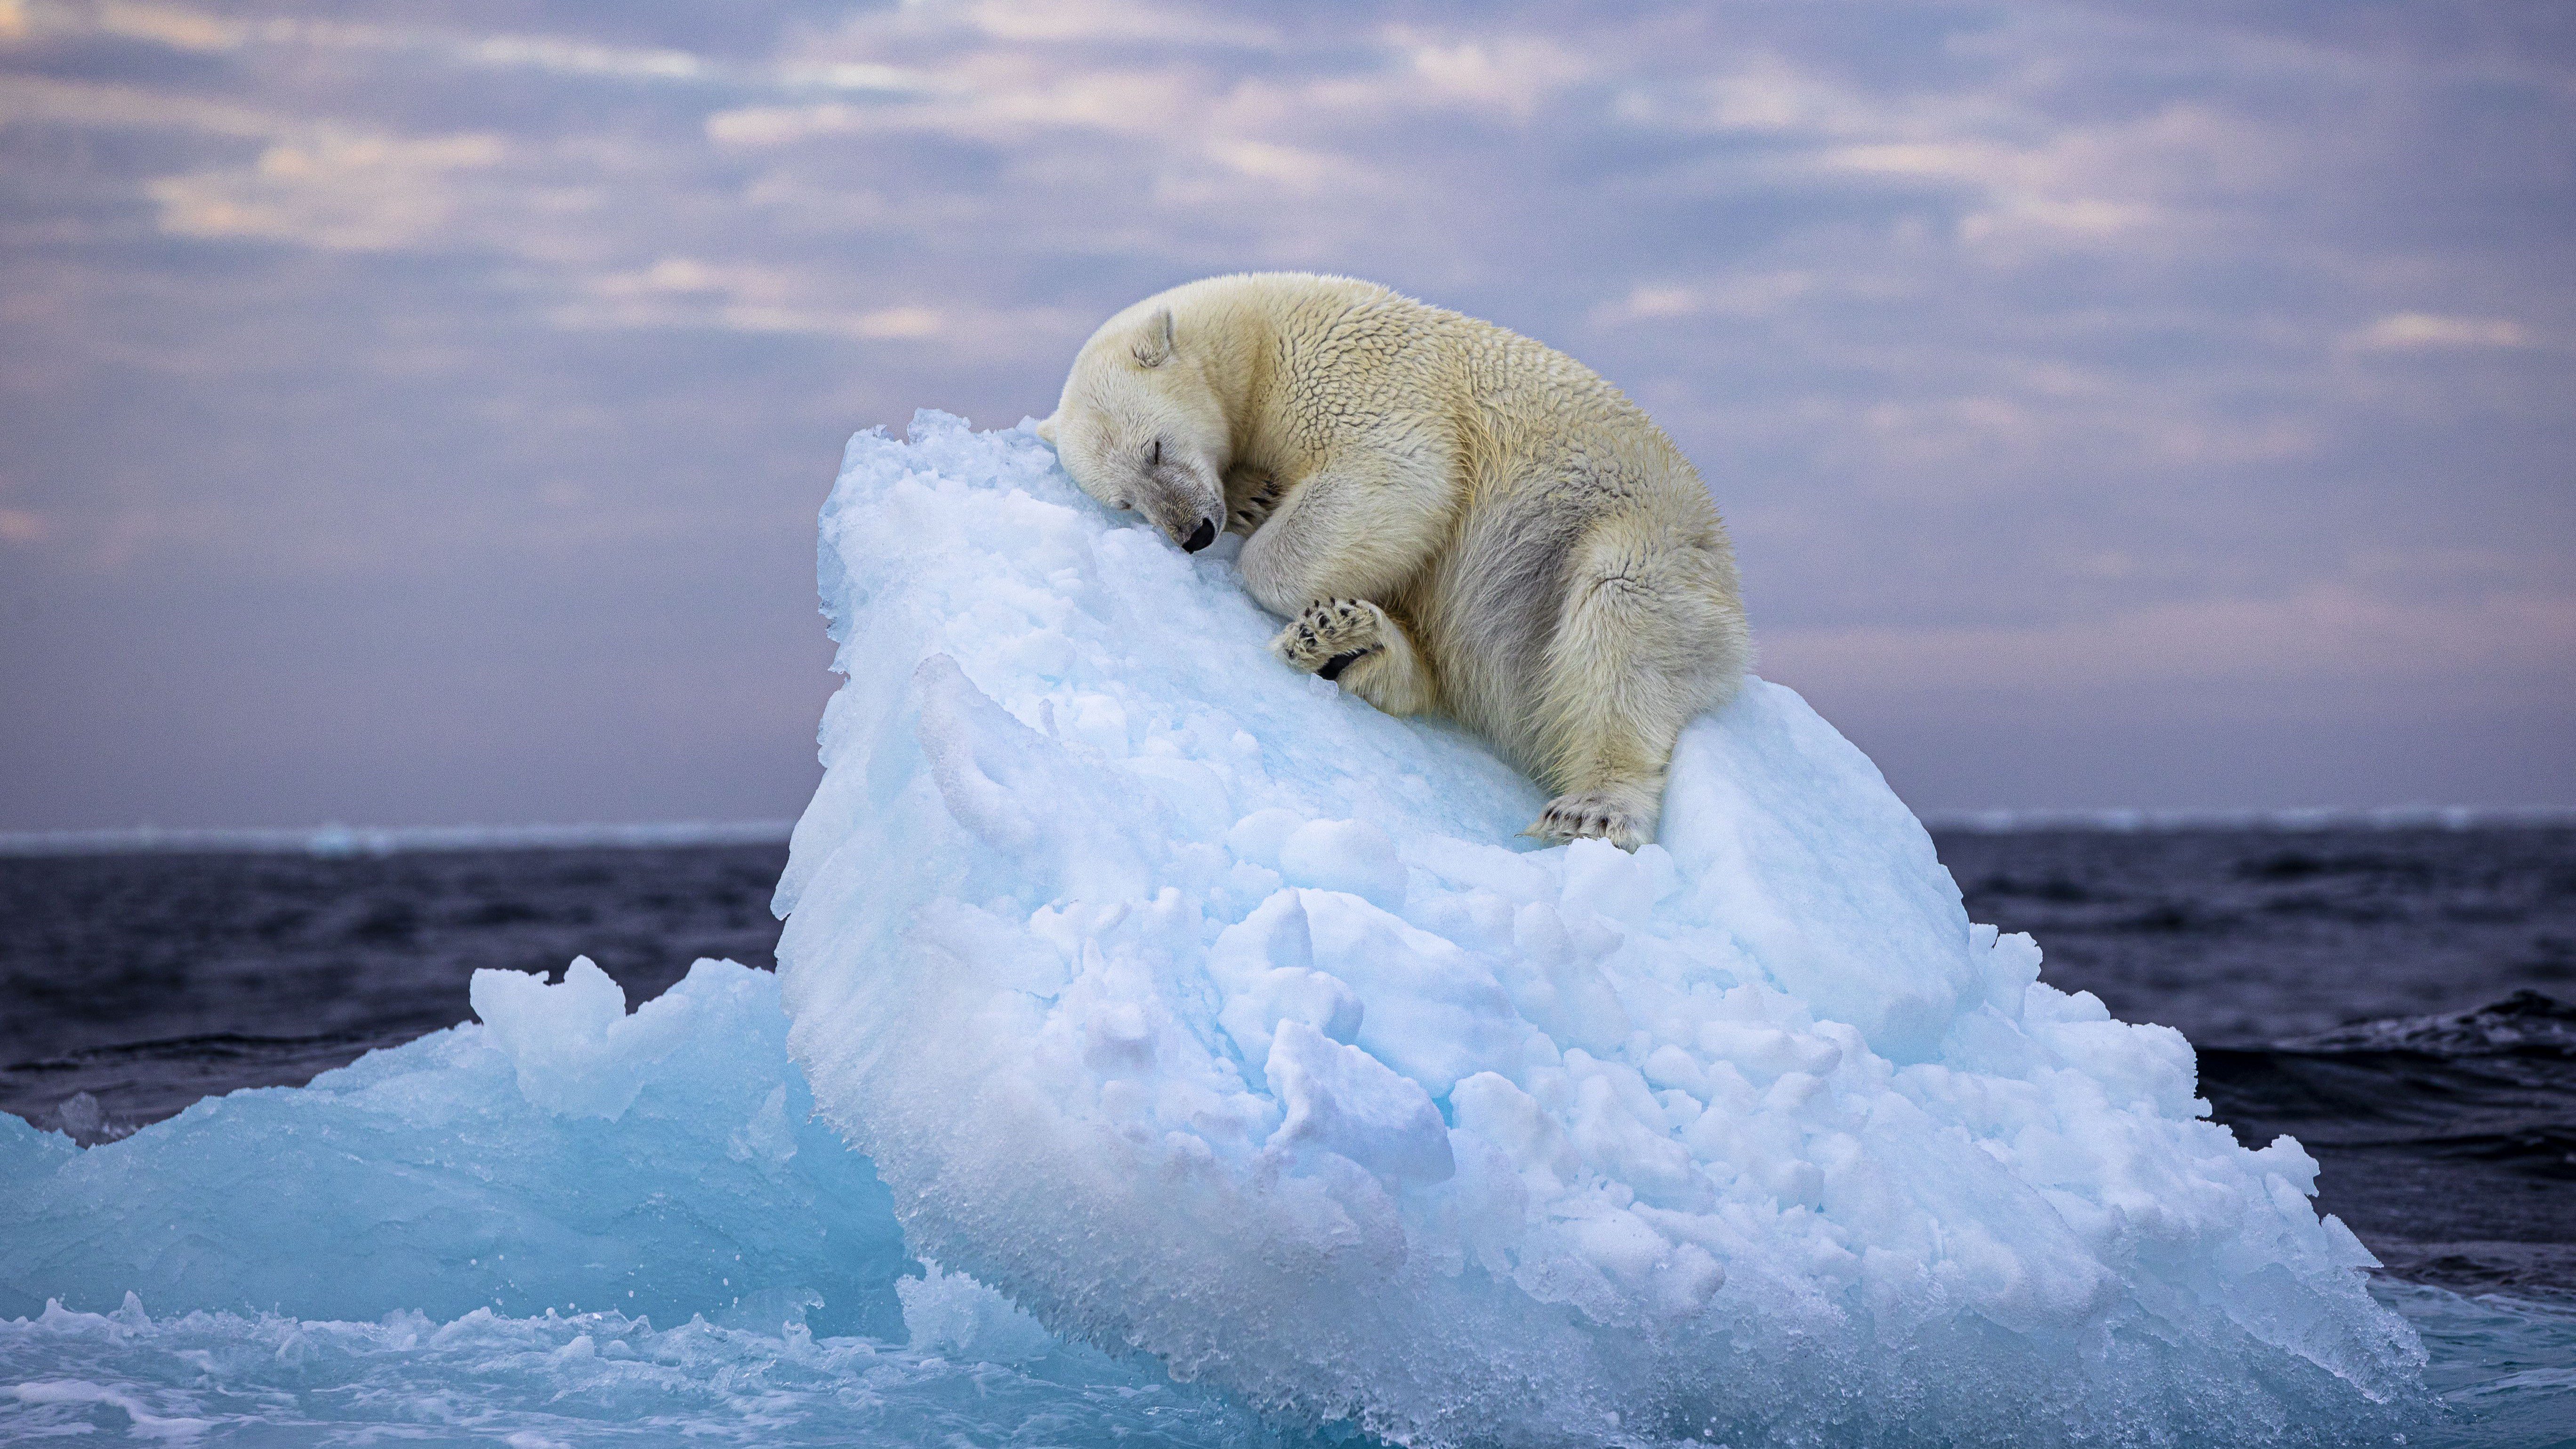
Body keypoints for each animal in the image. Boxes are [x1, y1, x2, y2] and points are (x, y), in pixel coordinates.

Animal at [1040, 271, 1751, 845]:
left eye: (1156, 448)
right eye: (1126, 501)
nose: (1193, 532)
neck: (1257, 334)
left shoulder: (1351, 371)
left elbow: (1399, 473)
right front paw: (1253, 497)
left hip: (1628, 540)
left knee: (1620, 627)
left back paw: (1592, 808)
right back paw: (1347, 642)